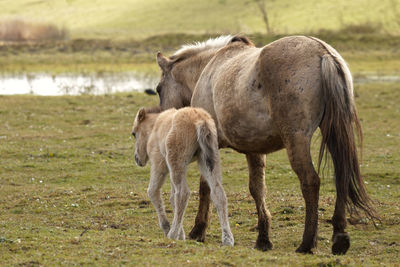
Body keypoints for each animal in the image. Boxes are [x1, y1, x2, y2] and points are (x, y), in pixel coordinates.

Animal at [131, 107, 234, 247]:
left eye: (134, 133)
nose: (137, 159)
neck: (155, 127)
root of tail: (200, 120)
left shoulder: (159, 164)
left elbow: (153, 191)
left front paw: (169, 229)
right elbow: (171, 197)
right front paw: (181, 234)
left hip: (177, 161)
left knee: (182, 193)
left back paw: (172, 234)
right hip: (208, 161)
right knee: (218, 193)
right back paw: (228, 239)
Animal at [152, 35, 376, 255]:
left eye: (158, 89)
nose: (164, 121)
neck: (210, 67)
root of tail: (323, 53)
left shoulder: (210, 147)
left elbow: (206, 186)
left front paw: (198, 231)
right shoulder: (255, 150)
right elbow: (257, 189)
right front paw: (263, 239)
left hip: (297, 140)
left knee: (310, 181)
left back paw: (306, 243)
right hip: (333, 135)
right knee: (341, 176)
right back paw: (339, 236)